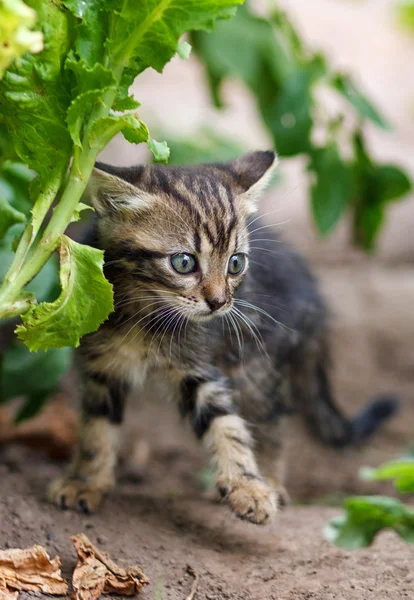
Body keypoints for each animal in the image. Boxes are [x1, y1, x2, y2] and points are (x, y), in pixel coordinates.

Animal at [48, 151, 398, 524]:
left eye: (235, 264)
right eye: (183, 263)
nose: (218, 302)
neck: (147, 315)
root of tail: (312, 292)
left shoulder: (199, 368)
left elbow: (227, 425)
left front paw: (249, 487)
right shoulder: (102, 367)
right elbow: (96, 428)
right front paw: (85, 481)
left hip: (254, 360)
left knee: (271, 420)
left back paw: (270, 479)